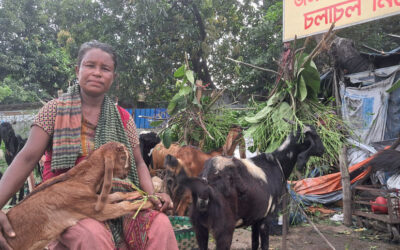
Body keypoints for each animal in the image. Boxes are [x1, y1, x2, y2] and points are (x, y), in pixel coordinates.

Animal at [3, 142, 152, 249]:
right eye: (122, 157)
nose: (127, 173)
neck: (78, 180)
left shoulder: (95, 199)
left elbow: (117, 194)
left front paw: (138, 193)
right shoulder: (94, 210)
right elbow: (123, 206)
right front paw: (149, 202)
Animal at [178, 125, 324, 250]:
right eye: (315, 135)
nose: (323, 150)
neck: (276, 163)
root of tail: (208, 177)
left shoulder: (255, 218)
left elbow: (254, 243)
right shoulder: (266, 217)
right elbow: (264, 245)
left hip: (199, 227)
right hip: (224, 229)